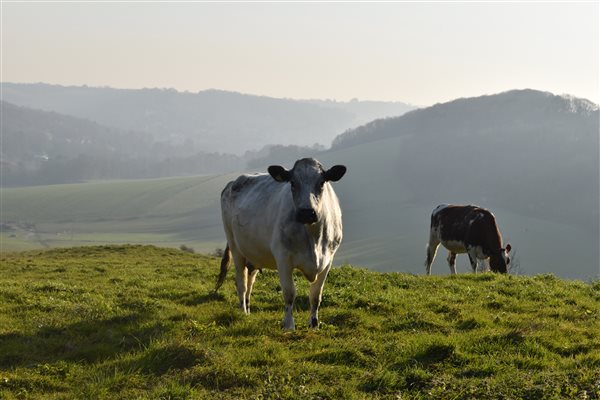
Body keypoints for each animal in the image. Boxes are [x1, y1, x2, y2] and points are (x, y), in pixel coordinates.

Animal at [216, 158, 346, 330]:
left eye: (322, 182)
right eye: (292, 183)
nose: (306, 212)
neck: (314, 240)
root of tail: (232, 183)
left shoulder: (328, 260)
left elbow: (315, 295)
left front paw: (314, 324)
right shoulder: (283, 258)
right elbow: (289, 293)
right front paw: (289, 325)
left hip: (253, 253)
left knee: (250, 281)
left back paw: (248, 310)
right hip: (235, 245)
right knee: (241, 282)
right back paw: (243, 310)